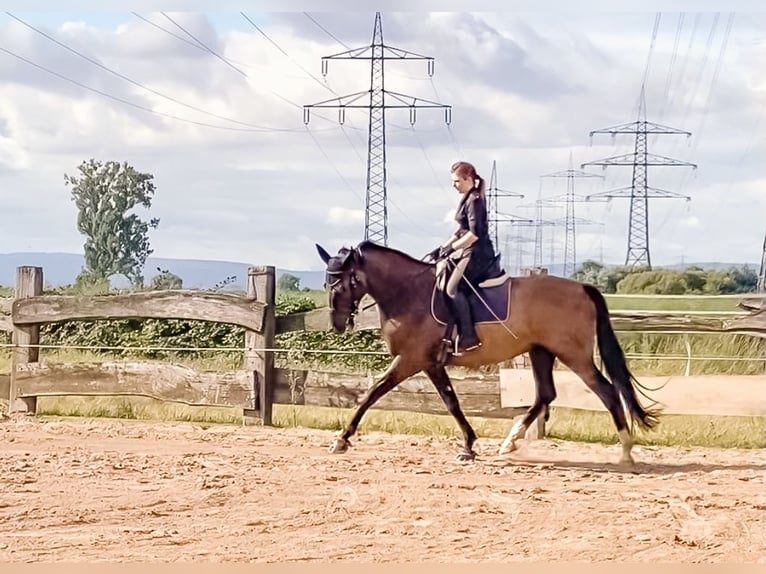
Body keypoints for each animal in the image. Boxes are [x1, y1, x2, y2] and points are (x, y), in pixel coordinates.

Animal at [316, 241, 664, 466]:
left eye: (341, 285)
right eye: (326, 284)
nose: (337, 324)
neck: (408, 294)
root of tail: (583, 288)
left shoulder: (412, 359)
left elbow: (373, 392)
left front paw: (342, 439)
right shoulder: (431, 363)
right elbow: (451, 402)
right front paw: (469, 446)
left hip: (574, 356)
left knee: (606, 391)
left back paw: (626, 451)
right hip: (541, 352)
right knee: (545, 394)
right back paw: (510, 442)